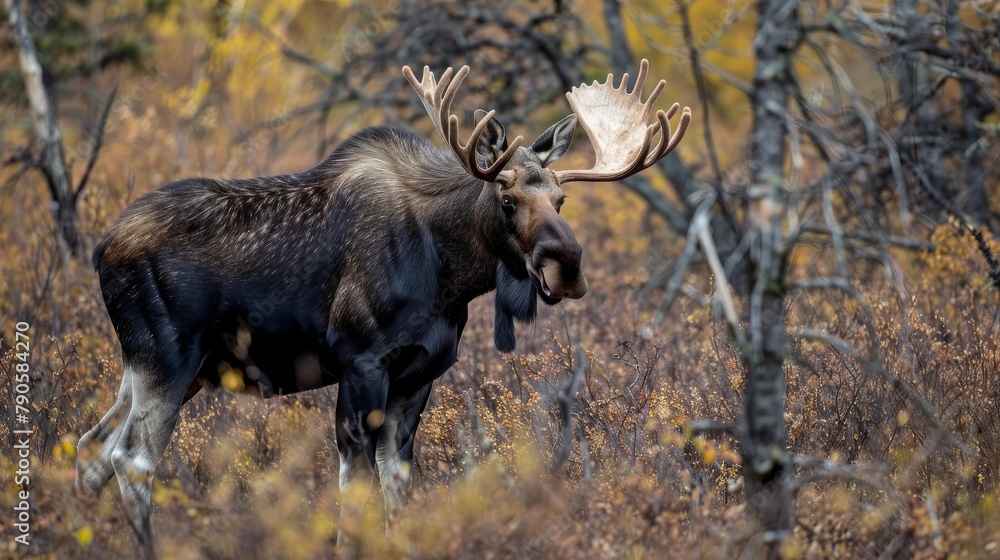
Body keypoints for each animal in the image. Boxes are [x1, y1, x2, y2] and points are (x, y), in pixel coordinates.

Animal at [75, 59, 691, 557]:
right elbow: (356, 487)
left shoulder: (419, 373)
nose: (567, 266)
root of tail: (102, 248)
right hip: (169, 358)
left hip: (165, 368)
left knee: (90, 447)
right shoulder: (361, 363)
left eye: (562, 199)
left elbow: (396, 487)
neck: (449, 276)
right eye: (507, 197)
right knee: (130, 458)